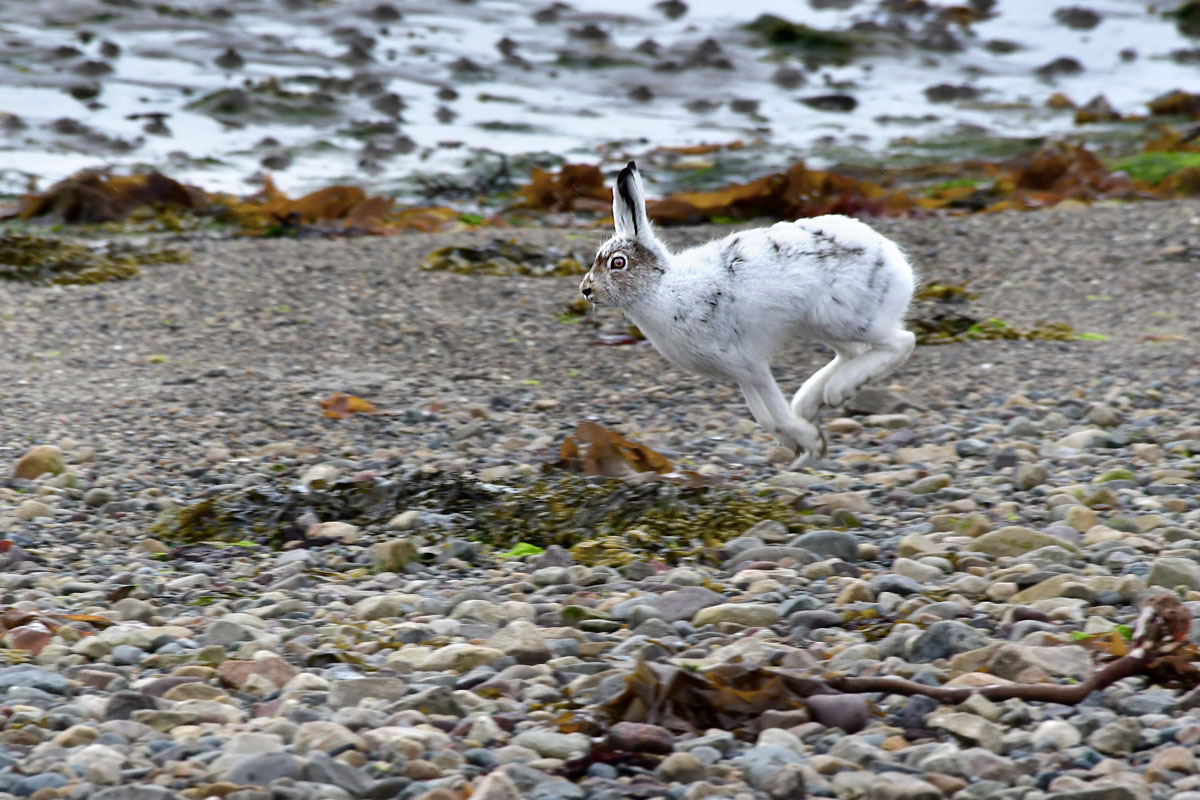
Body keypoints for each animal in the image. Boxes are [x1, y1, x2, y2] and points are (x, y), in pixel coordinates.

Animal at [579, 161, 916, 466]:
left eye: (618, 263)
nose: (586, 289)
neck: (660, 286)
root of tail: (895, 262)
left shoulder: (750, 364)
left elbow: (776, 414)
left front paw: (812, 443)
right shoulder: (742, 373)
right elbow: (766, 418)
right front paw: (798, 444)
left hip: (845, 318)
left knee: (902, 342)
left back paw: (835, 391)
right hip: (821, 325)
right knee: (853, 353)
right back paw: (813, 400)